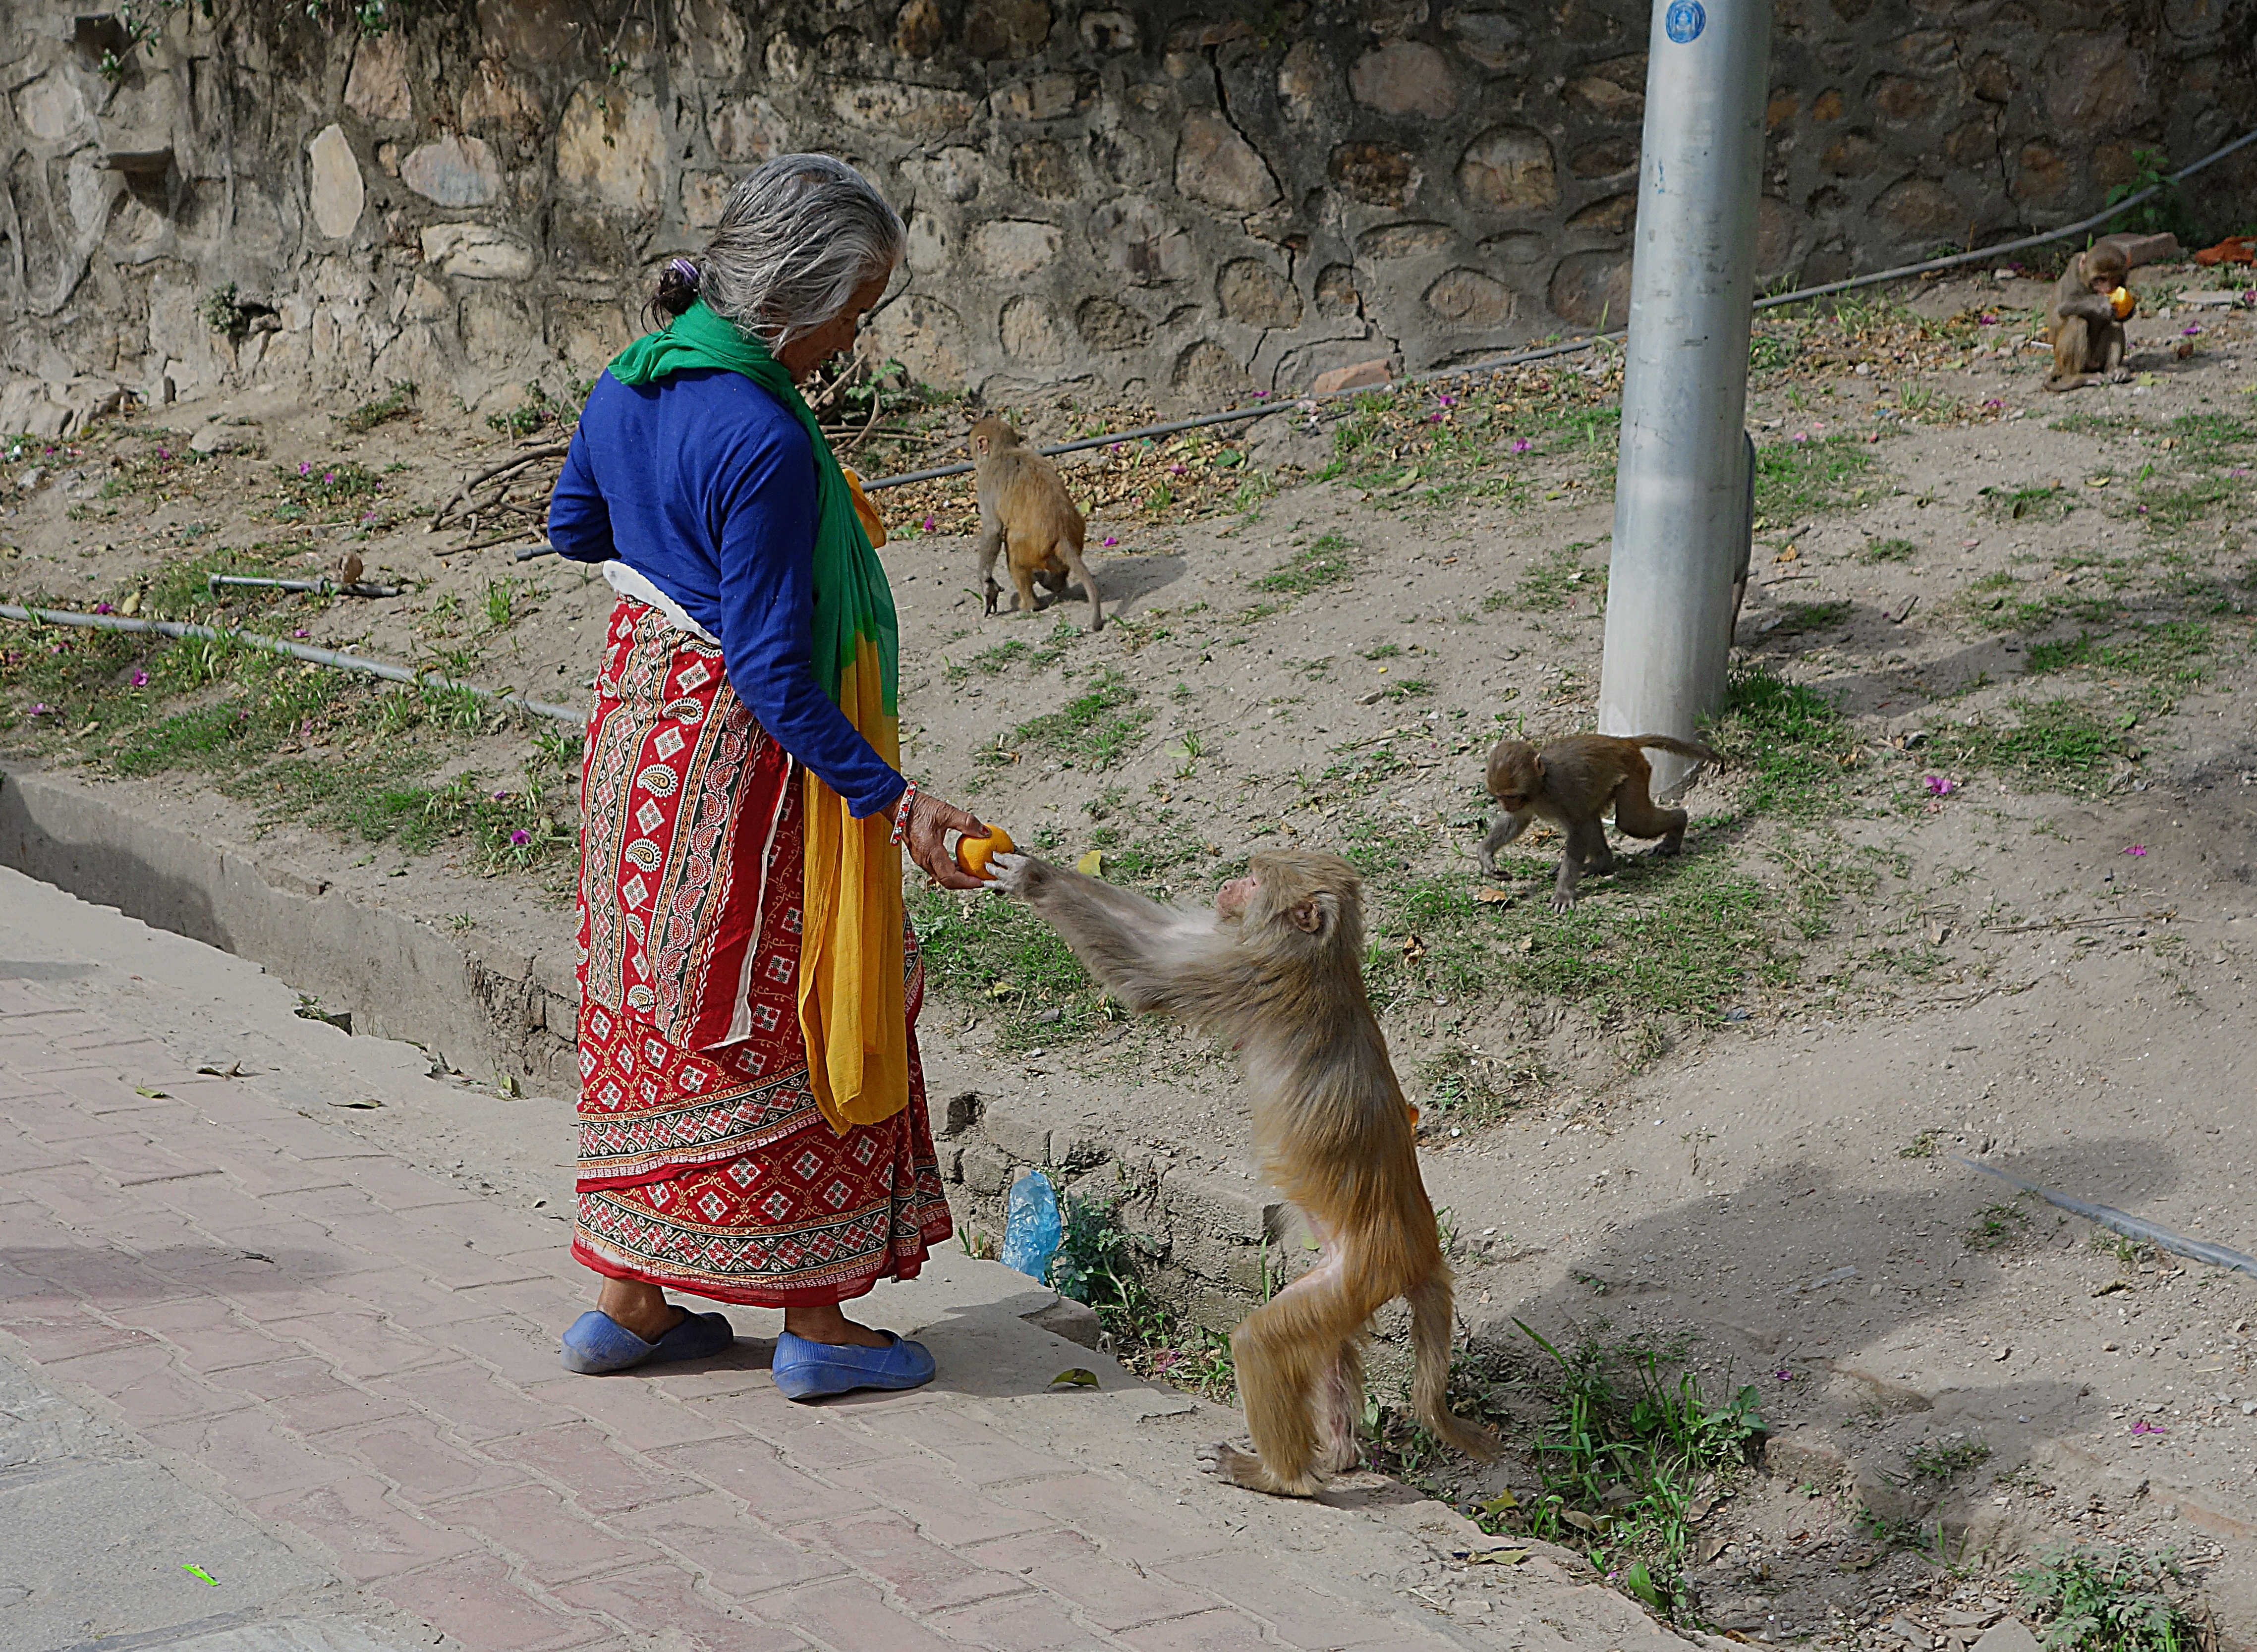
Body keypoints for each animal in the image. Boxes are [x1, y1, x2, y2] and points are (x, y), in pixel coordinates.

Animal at [988, 844, 1498, 1507]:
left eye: (1256, 881)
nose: (1231, 883)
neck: (1317, 955)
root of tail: (1421, 1248)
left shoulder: (1246, 975)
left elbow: (1146, 976)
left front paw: (1032, 880)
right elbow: (1165, 931)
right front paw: (1037, 865)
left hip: (1363, 1271)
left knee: (1263, 1342)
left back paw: (1282, 1477)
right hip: (1349, 1278)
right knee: (1327, 1343)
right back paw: (1338, 1454)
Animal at [1480, 731, 1706, 916]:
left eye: (1512, 796)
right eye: (1500, 797)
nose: (1506, 805)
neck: (1541, 785)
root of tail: (1623, 742)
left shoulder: (1562, 790)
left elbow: (1578, 828)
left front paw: (1564, 892)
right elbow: (1517, 820)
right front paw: (1486, 857)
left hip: (1634, 771)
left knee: (1632, 822)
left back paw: (1679, 824)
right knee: (1596, 817)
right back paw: (1601, 862)